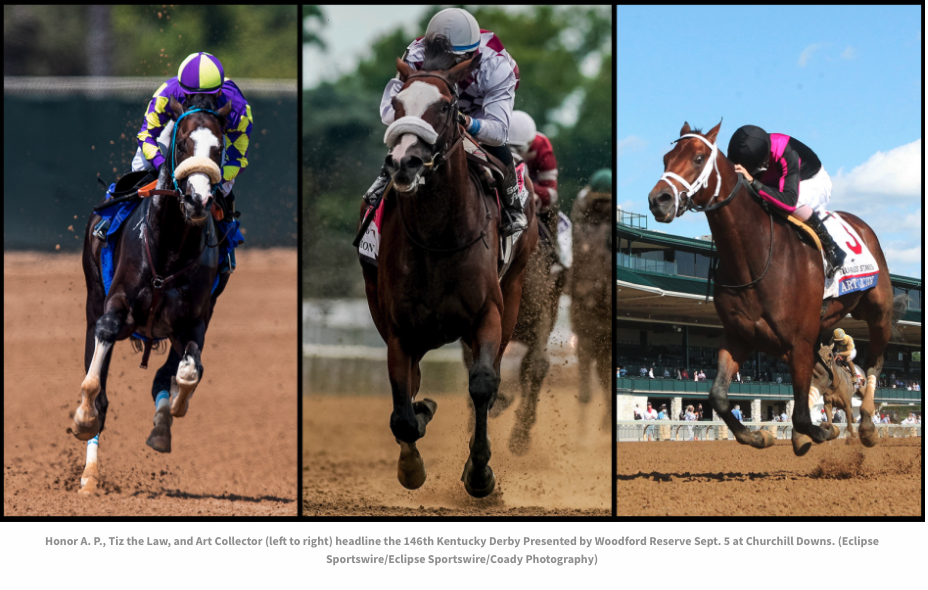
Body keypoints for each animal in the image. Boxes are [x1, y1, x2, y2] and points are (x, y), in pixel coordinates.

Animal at [73, 92, 232, 498]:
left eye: (219, 148)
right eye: (183, 142)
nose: (197, 200)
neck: (170, 245)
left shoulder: (194, 319)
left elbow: (189, 371)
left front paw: (172, 412)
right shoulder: (118, 304)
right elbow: (99, 369)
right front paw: (83, 418)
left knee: (166, 373)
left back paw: (162, 423)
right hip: (92, 297)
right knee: (100, 372)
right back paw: (89, 473)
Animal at [360, 40, 540, 500]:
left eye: (445, 106)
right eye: (398, 103)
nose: (404, 163)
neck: (438, 236)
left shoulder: (487, 314)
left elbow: (483, 383)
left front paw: (479, 474)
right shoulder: (400, 330)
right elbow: (403, 410)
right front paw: (411, 463)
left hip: (514, 291)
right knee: (414, 384)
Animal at [648, 122, 904, 458]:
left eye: (699, 158)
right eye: (666, 158)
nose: (659, 199)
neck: (754, 257)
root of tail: (861, 224)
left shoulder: (799, 340)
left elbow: (802, 413)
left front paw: (821, 431)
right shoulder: (741, 336)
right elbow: (718, 396)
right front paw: (760, 437)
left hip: (878, 312)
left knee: (874, 361)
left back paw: (868, 426)